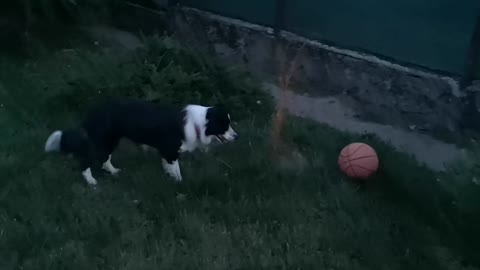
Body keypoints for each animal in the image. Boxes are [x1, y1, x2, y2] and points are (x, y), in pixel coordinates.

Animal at [45, 98, 238, 185]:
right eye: (225, 125)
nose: (237, 136)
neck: (198, 123)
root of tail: (92, 112)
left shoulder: (167, 153)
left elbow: (170, 168)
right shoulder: (169, 150)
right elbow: (177, 171)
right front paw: (178, 183)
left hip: (111, 140)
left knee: (105, 158)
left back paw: (113, 171)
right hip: (101, 141)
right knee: (86, 160)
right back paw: (91, 181)